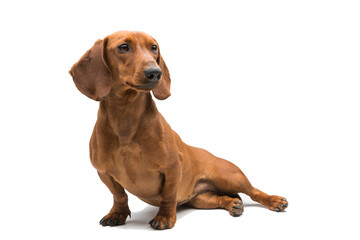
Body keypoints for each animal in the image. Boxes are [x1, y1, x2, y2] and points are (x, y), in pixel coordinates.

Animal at [69, 31, 288, 230]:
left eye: (154, 47)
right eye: (123, 47)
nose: (155, 72)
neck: (126, 121)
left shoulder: (173, 168)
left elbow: (168, 195)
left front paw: (165, 217)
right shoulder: (104, 173)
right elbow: (119, 195)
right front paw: (117, 214)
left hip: (230, 177)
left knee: (254, 191)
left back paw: (274, 200)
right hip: (201, 199)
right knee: (221, 198)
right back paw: (232, 203)